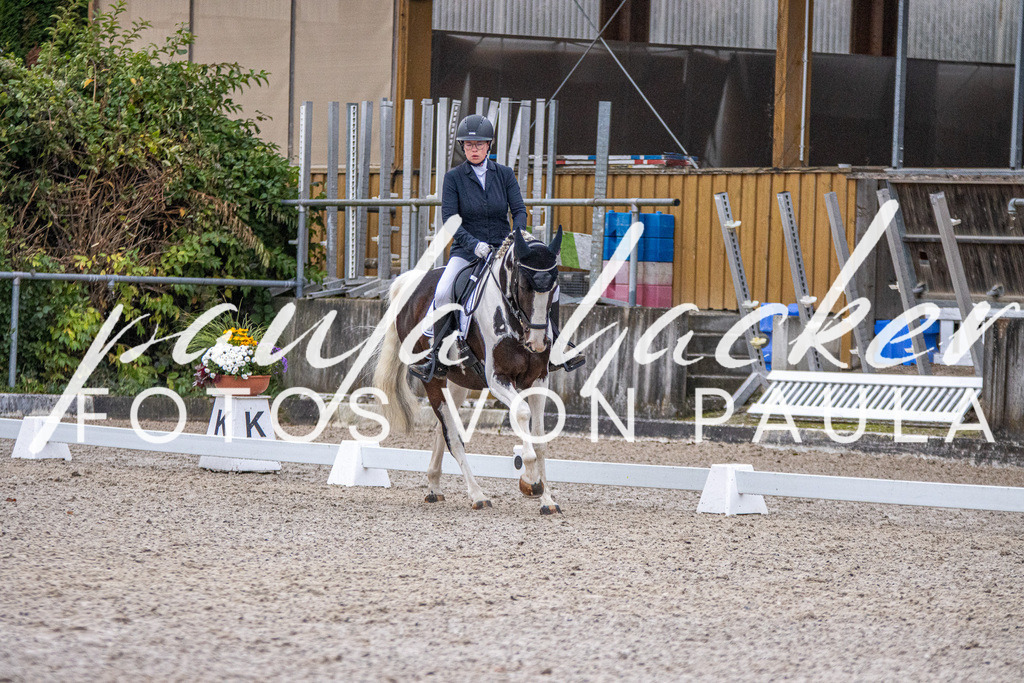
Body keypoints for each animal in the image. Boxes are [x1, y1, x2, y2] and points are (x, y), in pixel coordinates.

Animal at [373, 223, 565, 514]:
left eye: (554, 286)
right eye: (523, 285)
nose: (538, 342)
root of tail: (413, 284)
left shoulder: (539, 379)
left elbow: (541, 439)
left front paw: (548, 500)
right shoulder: (498, 379)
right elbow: (521, 413)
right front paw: (531, 482)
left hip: (457, 381)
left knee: (442, 430)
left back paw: (434, 487)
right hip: (433, 380)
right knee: (452, 436)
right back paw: (477, 495)